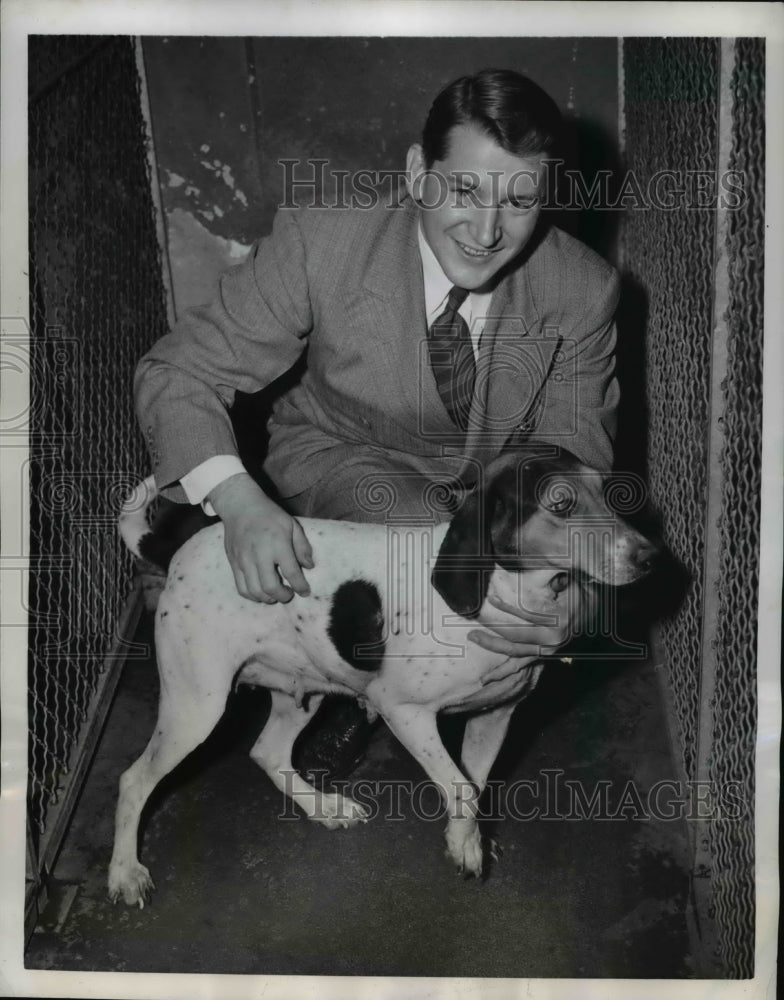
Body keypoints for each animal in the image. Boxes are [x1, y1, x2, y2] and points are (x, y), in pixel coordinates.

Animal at [105, 446, 656, 908]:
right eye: (561, 504)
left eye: (606, 490)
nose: (650, 558)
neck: (502, 592)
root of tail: (180, 550)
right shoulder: (404, 712)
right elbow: (461, 787)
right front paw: (467, 847)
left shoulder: (495, 715)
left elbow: (474, 785)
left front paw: (466, 839)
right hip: (196, 707)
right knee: (133, 780)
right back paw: (125, 873)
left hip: (300, 691)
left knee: (267, 752)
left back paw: (324, 807)